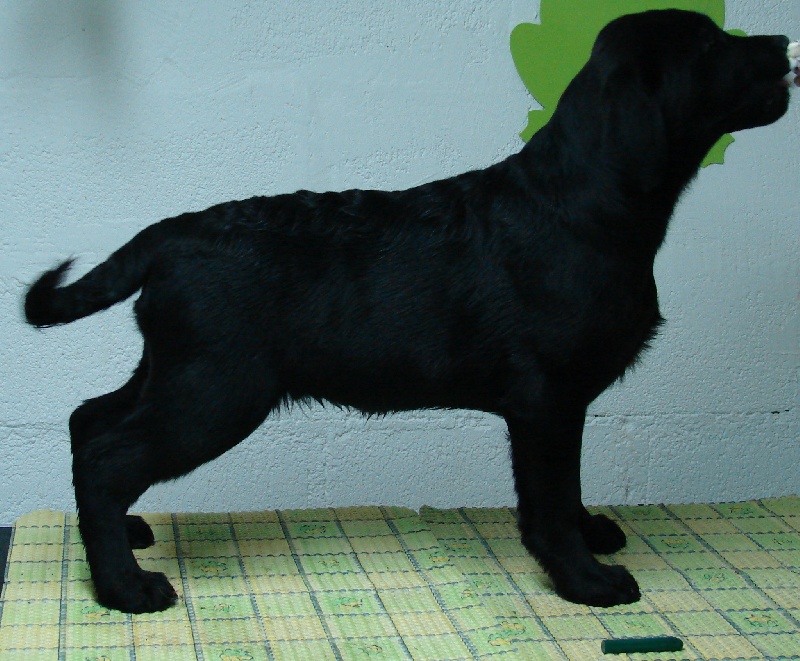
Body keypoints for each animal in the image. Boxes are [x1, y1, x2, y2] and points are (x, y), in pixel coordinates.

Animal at [24, 10, 794, 614]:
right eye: (708, 44)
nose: (783, 42)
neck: (583, 200)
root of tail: (169, 235)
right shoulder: (546, 400)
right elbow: (548, 499)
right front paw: (587, 581)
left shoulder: (557, 406)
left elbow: (566, 487)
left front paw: (590, 533)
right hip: (213, 392)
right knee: (107, 457)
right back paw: (125, 588)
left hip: (173, 371)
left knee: (89, 420)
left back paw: (122, 538)